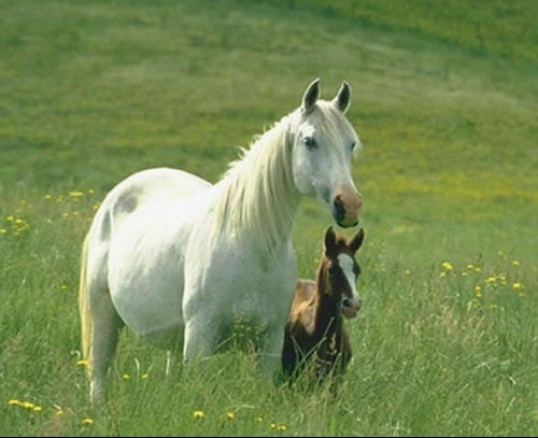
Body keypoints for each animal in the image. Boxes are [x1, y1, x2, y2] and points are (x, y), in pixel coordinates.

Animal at [77, 77, 362, 402]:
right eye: (309, 141)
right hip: (103, 318)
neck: (252, 246)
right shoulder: (200, 336)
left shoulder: (270, 341)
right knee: (99, 377)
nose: (349, 205)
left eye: (351, 143)